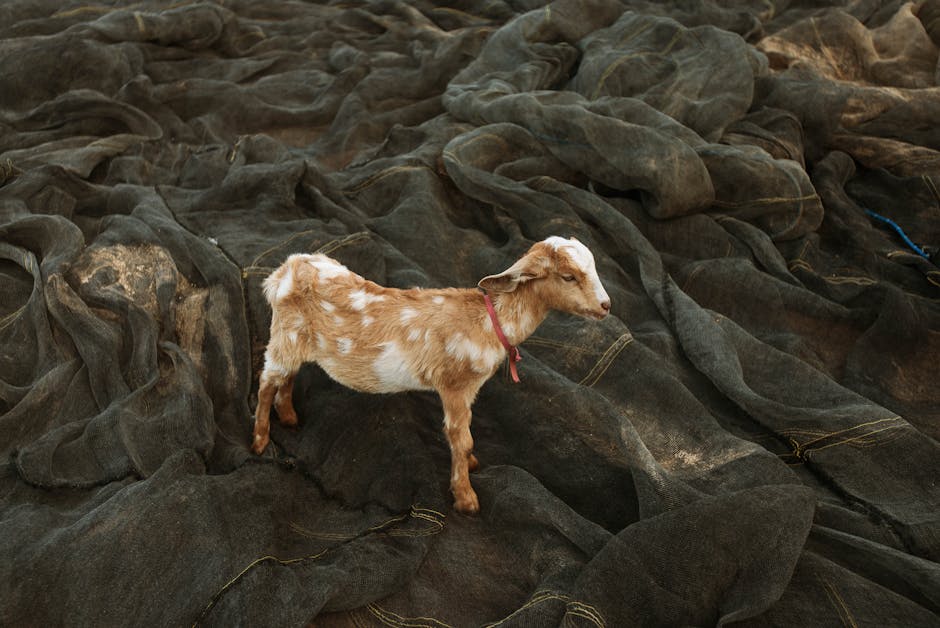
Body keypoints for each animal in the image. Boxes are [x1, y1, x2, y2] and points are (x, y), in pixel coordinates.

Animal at [251, 236, 611, 514]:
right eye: (568, 276)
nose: (606, 306)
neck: (489, 321)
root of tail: (284, 271)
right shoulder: (455, 385)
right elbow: (460, 438)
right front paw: (466, 499)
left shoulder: (468, 389)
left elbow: (466, 438)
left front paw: (472, 466)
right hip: (284, 338)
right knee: (266, 382)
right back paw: (259, 440)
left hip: (295, 342)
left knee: (287, 377)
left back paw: (289, 417)